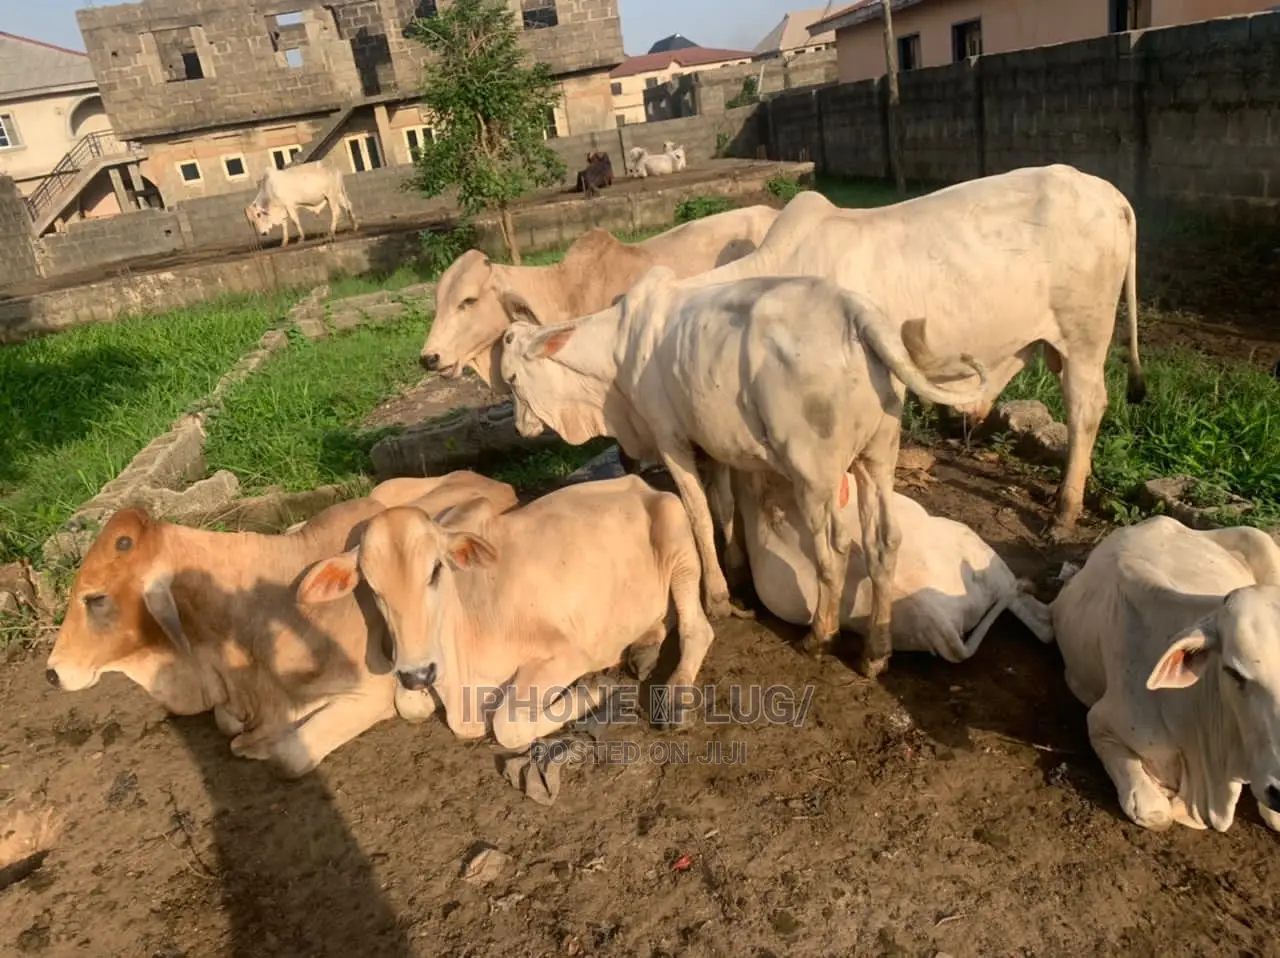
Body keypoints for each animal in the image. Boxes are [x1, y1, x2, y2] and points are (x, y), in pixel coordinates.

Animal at [44, 472, 518, 778]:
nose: (51, 672)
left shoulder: (373, 690)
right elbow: (228, 723)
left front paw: (260, 744)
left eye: (95, 599)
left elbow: (288, 754)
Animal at [296, 475, 717, 747]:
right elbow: (409, 704)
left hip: (679, 542)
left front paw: (593, 691)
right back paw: (644, 648)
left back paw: (676, 697)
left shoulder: (565, 653)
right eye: (372, 586)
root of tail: (641, 483)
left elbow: (507, 724)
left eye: (435, 569)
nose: (417, 673)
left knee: (698, 628)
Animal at [498, 267, 988, 679]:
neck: (618, 354)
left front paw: (717, 597)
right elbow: (725, 506)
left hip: (813, 473)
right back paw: (875, 653)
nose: (521, 429)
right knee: (883, 541)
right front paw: (736, 571)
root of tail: (858, 314)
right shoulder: (713, 443)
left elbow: (698, 514)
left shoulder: (671, 439)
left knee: (835, 549)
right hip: (878, 454)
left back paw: (819, 637)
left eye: (512, 379)